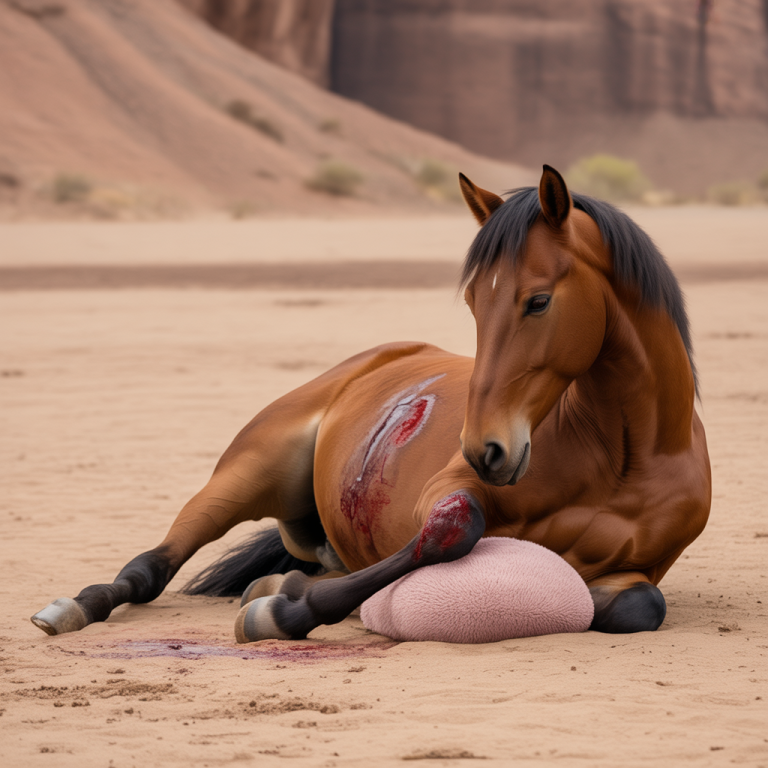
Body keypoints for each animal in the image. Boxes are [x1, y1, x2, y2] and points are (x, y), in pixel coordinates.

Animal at [31, 166, 711, 642]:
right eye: (474, 304)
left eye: (538, 301)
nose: (485, 447)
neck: (622, 456)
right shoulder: (447, 490)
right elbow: (452, 531)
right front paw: (282, 615)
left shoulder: (635, 573)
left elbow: (640, 605)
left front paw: (283, 596)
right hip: (240, 476)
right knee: (151, 566)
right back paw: (78, 607)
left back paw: (278, 578)